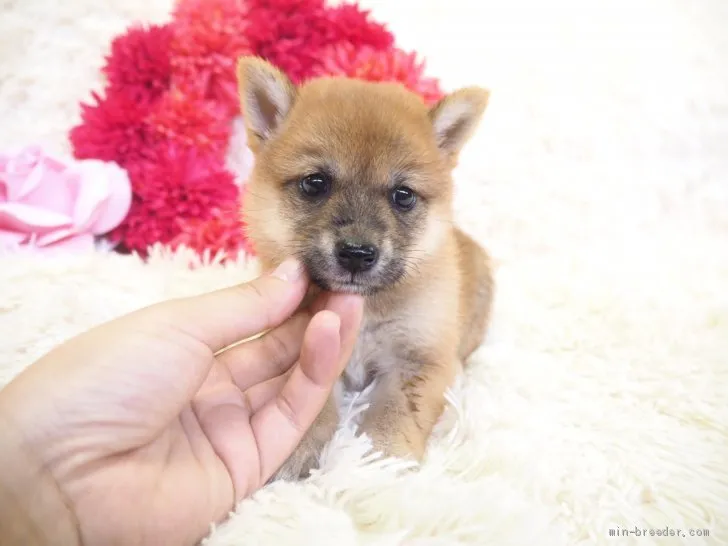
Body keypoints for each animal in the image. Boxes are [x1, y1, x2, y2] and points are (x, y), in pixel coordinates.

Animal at [236, 57, 492, 478]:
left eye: (403, 195)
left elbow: (396, 412)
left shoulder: (419, 358)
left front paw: (380, 464)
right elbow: (310, 402)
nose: (356, 253)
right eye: (315, 183)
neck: (367, 308)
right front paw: (298, 448)